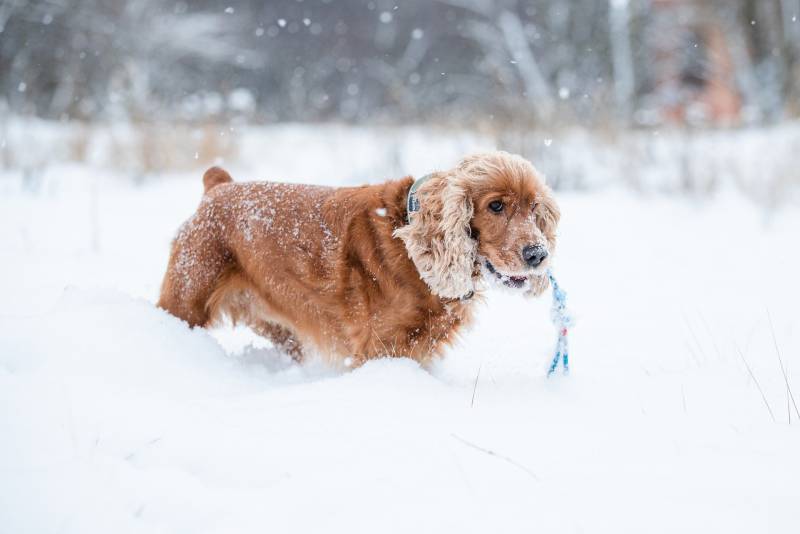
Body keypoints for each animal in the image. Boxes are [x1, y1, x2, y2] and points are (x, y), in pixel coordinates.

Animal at [159, 153, 560, 366]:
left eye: (534, 207)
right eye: (496, 206)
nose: (538, 254)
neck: (411, 245)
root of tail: (218, 187)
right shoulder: (381, 346)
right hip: (185, 298)